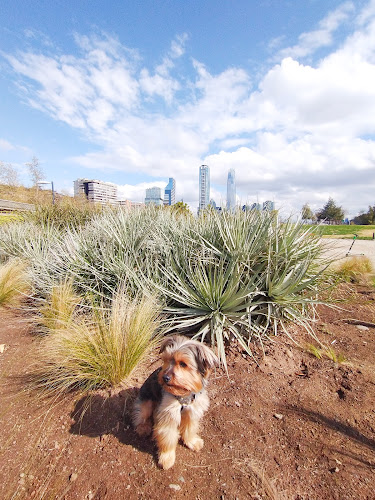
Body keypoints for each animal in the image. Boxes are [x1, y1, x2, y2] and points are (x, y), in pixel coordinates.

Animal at [134, 336, 219, 468]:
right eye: (166, 360)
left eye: (183, 364)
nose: (164, 378)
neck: (184, 394)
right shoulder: (168, 413)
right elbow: (167, 437)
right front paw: (167, 458)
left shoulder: (192, 411)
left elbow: (190, 428)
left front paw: (192, 442)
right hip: (146, 402)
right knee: (140, 414)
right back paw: (143, 427)